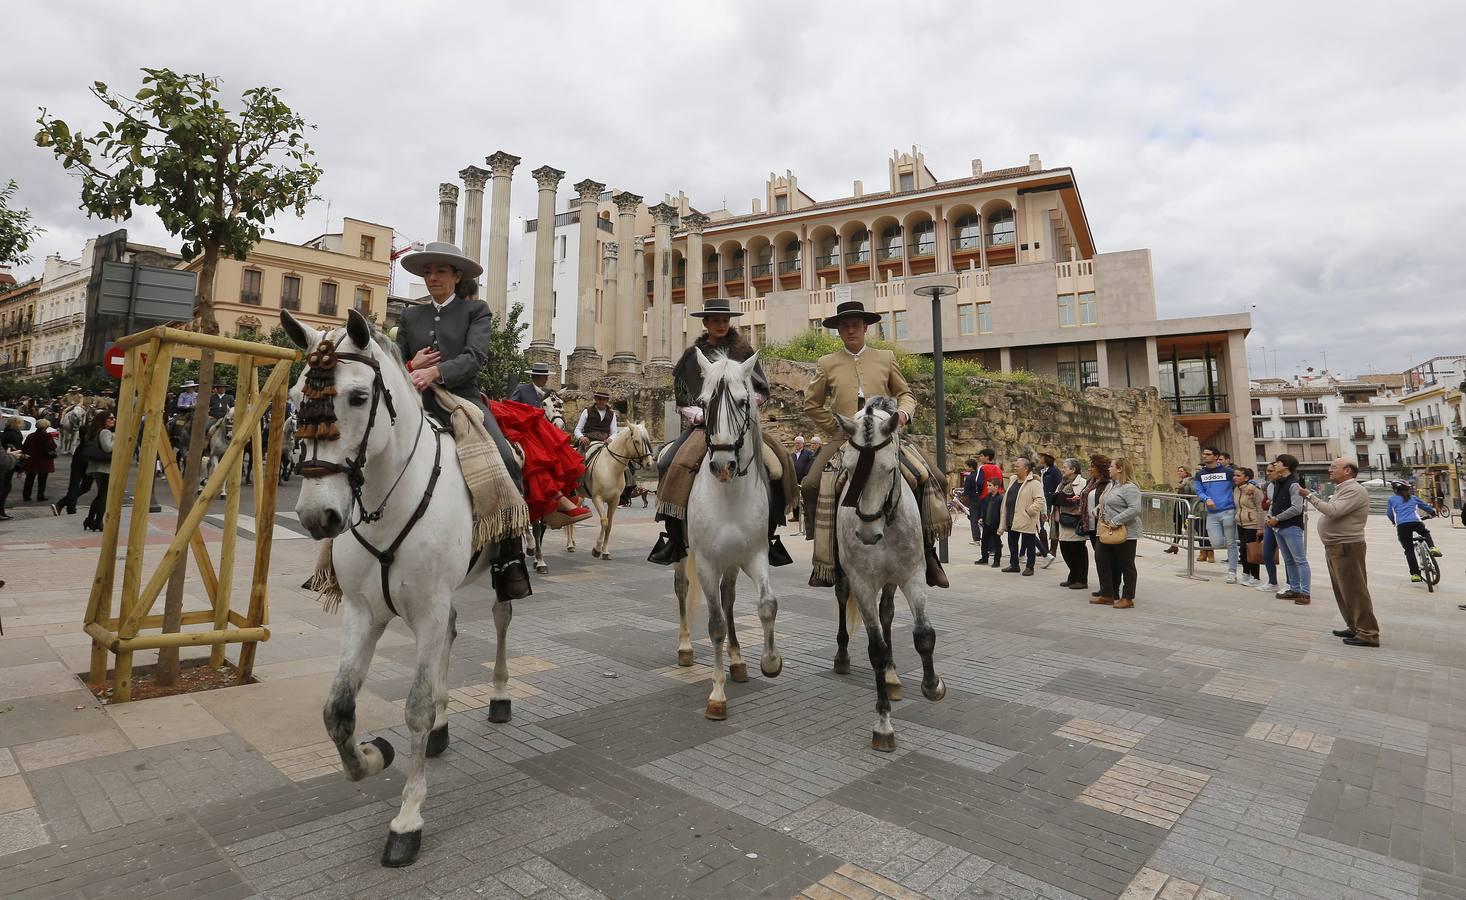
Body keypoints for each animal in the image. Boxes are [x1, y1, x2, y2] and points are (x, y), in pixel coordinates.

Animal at [282, 309, 518, 867]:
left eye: (357, 396)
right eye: (298, 394)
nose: (317, 516)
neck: (387, 499)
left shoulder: (427, 608)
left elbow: (415, 707)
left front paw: (408, 818)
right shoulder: (362, 613)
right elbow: (337, 710)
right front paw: (372, 757)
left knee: (499, 620)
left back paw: (498, 695)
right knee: (451, 635)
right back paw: (442, 729)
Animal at [577, 422, 653, 559]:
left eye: (647, 440)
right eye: (636, 441)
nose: (649, 463)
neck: (610, 467)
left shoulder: (614, 501)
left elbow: (610, 525)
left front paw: (605, 551)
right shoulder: (598, 498)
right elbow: (604, 522)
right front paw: (597, 549)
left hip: (580, 496)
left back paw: (571, 545)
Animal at [683, 348, 779, 724]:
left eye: (742, 400)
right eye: (703, 402)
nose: (723, 465)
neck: (728, 495)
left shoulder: (755, 556)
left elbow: (766, 604)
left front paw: (770, 661)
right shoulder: (707, 564)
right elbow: (715, 625)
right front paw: (717, 695)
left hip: (734, 563)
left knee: (729, 599)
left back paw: (737, 661)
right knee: (682, 589)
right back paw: (685, 648)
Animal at [838, 398, 949, 750]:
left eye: (889, 469)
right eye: (849, 469)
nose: (867, 534)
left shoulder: (912, 575)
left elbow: (923, 634)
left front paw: (932, 686)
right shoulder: (862, 583)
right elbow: (875, 648)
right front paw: (883, 723)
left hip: (892, 579)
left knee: (887, 612)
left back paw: (891, 674)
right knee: (842, 600)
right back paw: (843, 657)